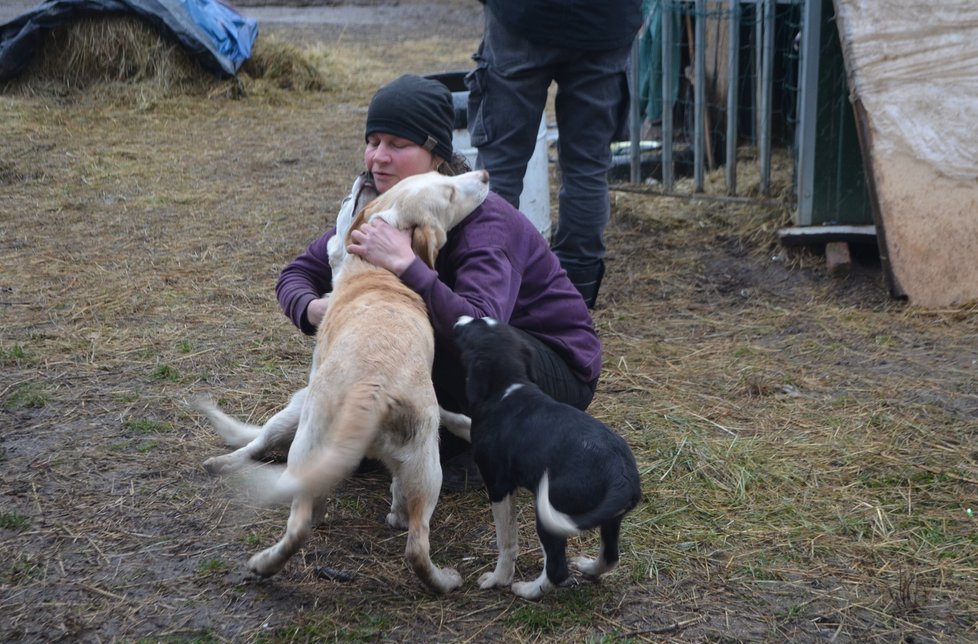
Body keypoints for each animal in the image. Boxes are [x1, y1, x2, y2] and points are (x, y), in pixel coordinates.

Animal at [196, 169, 486, 592]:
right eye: (446, 188)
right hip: (424, 466)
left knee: (290, 504)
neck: (376, 272)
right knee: (416, 543)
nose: (484, 175)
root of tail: (371, 390)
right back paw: (441, 578)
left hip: (305, 438)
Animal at [452, 314, 640, 600]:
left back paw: (526, 590)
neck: (510, 385)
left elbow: (506, 540)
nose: (458, 320)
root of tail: (621, 476)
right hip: (610, 519)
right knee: (610, 557)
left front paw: (498, 579)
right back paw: (588, 567)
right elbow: (457, 420)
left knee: (556, 568)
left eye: (470, 330)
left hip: (550, 514)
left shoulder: (498, 485)